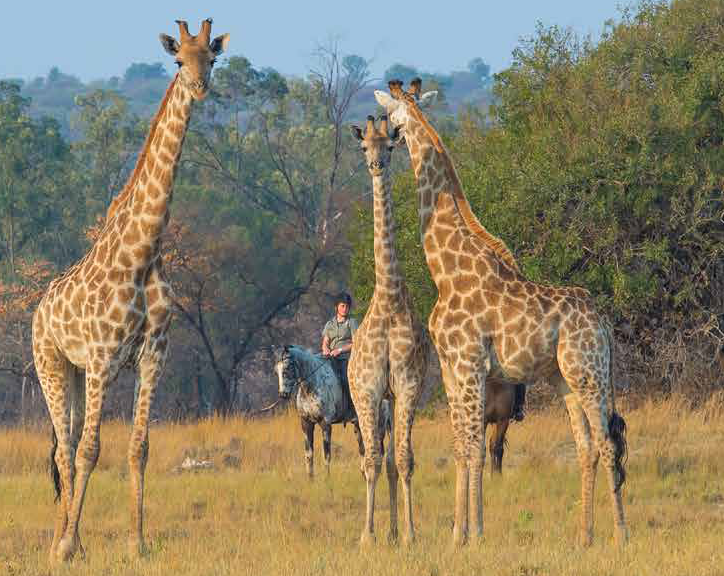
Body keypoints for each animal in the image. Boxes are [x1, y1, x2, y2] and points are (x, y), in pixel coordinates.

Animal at [30, 19, 229, 564]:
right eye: (178, 60)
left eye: (212, 58)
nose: (199, 86)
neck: (143, 254)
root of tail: (38, 309)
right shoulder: (102, 357)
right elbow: (90, 449)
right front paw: (68, 546)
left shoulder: (153, 354)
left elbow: (139, 447)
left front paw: (138, 542)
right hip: (51, 364)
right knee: (64, 448)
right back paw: (62, 542)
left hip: (75, 373)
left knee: (65, 446)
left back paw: (65, 535)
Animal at [272, 346, 390, 476]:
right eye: (276, 371)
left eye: (287, 368)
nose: (283, 394)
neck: (310, 387)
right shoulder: (306, 423)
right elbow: (309, 455)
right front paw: (310, 479)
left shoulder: (325, 423)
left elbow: (326, 455)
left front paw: (327, 478)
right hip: (359, 425)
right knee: (363, 449)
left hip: (379, 424)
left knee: (378, 450)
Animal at [374, 79, 628, 548]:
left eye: (389, 115)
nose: (388, 135)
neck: (446, 270)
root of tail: (603, 324)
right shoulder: (451, 369)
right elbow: (460, 447)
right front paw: (457, 534)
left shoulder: (471, 364)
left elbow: (476, 447)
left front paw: (474, 532)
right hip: (564, 378)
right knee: (586, 446)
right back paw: (583, 537)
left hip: (589, 373)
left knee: (606, 443)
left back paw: (621, 534)